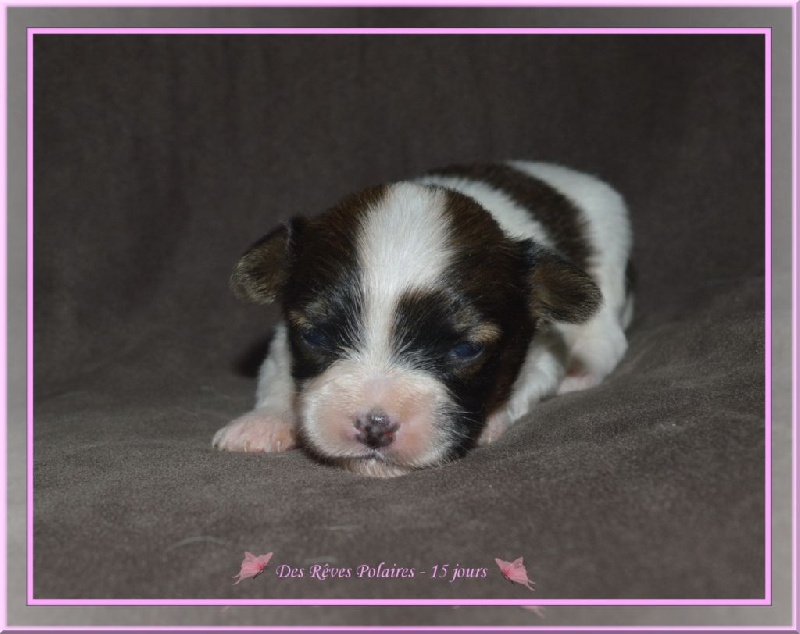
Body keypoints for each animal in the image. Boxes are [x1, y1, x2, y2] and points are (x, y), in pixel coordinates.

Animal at [213, 162, 633, 477]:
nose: (374, 424)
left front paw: (492, 421)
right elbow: (277, 375)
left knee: (609, 341)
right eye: (315, 337)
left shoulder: (542, 348)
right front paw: (262, 422)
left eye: (466, 349)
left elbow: (528, 381)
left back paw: (581, 372)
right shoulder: (284, 340)